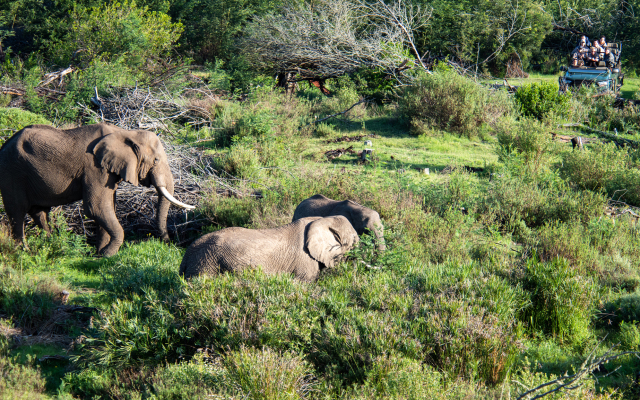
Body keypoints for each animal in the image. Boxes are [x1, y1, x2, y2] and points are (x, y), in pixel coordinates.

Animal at [0, 120, 195, 256]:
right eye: (156, 160)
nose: (170, 243)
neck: (125, 132)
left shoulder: (108, 170)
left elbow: (108, 207)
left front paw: (99, 253)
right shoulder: (95, 167)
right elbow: (96, 207)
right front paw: (109, 254)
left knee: (39, 212)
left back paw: (49, 244)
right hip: (11, 171)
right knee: (17, 212)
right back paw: (23, 252)